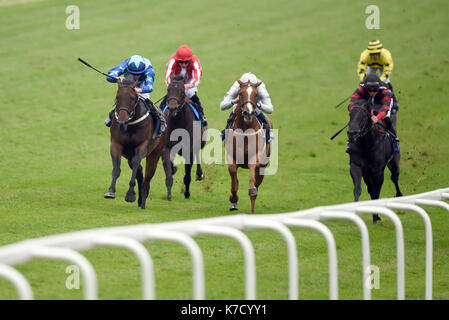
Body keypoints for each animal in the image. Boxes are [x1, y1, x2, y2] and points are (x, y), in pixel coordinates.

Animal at [103, 78, 168, 209]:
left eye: (133, 98)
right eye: (117, 97)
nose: (122, 121)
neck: (130, 125)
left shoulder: (142, 147)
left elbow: (136, 164)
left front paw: (130, 195)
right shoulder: (116, 145)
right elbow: (116, 169)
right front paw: (111, 192)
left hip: (155, 152)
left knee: (147, 176)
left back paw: (143, 201)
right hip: (129, 156)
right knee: (140, 173)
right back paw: (140, 199)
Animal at [224, 80, 272, 214]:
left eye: (256, 94)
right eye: (240, 93)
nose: (248, 112)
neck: (245, 130)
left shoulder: (255, 157)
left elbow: (252, 181)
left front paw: (251, 191)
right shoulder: (231, 156)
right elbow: (233, 177)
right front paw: (233, 199)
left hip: (263, 165)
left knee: (257, 183)